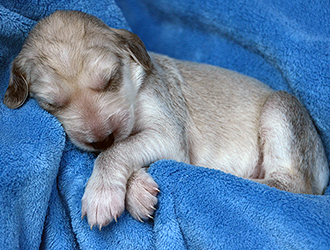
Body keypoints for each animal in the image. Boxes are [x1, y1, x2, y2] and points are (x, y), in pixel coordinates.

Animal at [3, 10, 328, 230]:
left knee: (290, 185)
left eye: (111, 80)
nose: (102, 137)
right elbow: (120, 149)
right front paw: (138, 191)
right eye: (52, 104)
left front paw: (102, 195)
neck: (135, 89)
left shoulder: (167, 130)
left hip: (280, 109)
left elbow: (116, 151)